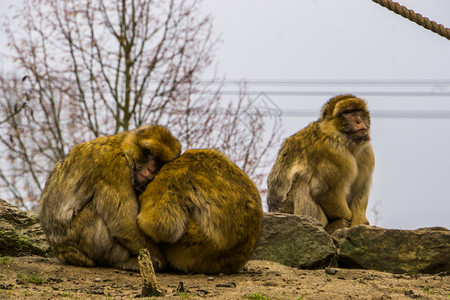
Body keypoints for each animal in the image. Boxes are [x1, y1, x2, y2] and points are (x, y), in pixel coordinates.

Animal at [38, 125, 182, 270]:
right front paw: (163, 261)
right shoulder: (114, 167)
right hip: (80, 237)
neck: (122, 148)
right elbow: (123, 223)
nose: (151, 170)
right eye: (151, 155)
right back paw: (121, 261)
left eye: (160, 162)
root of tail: (63, 252)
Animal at [266, 95, 374, 233]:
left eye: (358, 111)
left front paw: (359, 222)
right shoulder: (333, 152)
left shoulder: (367, 152)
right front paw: (346, 220)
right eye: (347, 112)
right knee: (302, 183)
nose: (359, 121)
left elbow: (360, 189)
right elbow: (325, 192)